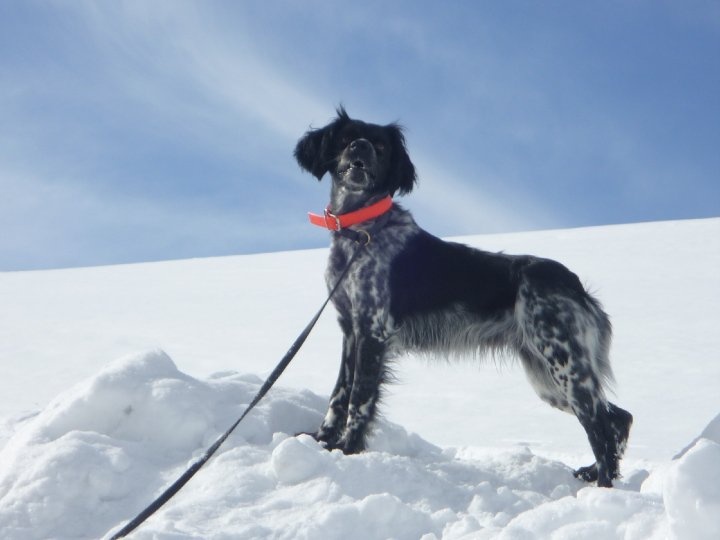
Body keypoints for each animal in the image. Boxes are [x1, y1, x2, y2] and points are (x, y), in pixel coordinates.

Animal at [292, 107, 632, 488]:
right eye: (347, 137)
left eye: (379, 146)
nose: (361, 147)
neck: (360, 231)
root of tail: (576, 286)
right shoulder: (351, 331)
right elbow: (338, 395)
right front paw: (321, 441)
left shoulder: (373, 332)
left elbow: (359, 399)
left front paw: (348, 450)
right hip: (546, 373)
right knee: (617, 418)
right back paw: (594, 474)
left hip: (564, 364)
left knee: (600, 425)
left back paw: (603, 487)